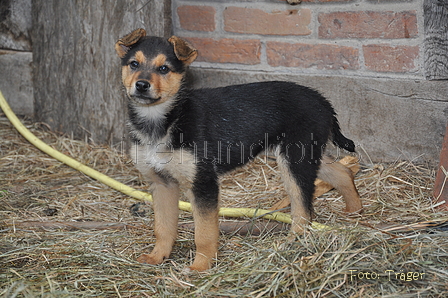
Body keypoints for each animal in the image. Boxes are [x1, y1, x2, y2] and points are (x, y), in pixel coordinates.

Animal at [116, 28, 364, 272]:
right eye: (134, 64)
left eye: (164, 68)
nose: (141, 85)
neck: (164, 119)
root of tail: (324, 102)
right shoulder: (162, 183)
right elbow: (163, 227)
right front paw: (157, 257)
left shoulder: (203, 183)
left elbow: (204, 232)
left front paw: (200, 266)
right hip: (306, 155)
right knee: (342, 173)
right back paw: (355, 211)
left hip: (294, 160)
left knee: (302, 209)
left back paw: (292, 243)